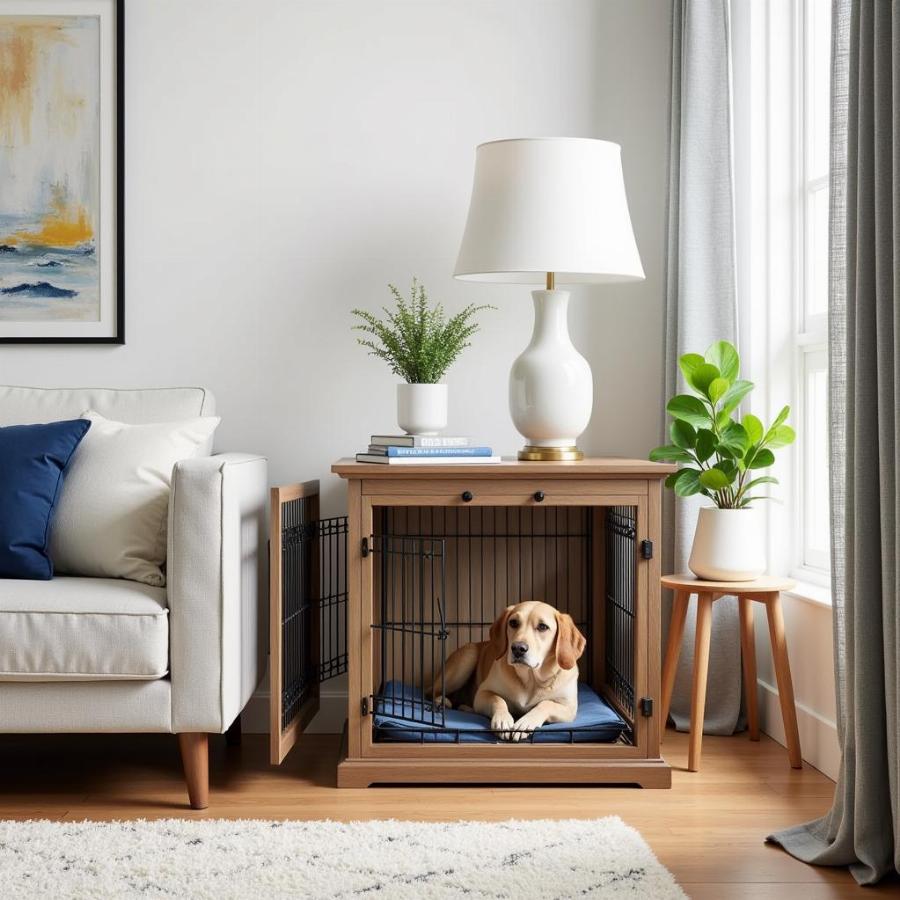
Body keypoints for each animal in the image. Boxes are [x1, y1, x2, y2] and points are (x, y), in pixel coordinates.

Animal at [430, 600, 588, 740]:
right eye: (513, 623)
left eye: (543, 627)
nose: (518, 648)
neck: (530, 680)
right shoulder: (482, 693)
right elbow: (498, 699)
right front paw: (502, 719)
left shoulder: (569, 709)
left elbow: (545, 704)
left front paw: (526, 722)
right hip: (468, 657)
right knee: (432, 692)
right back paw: (442, 701)